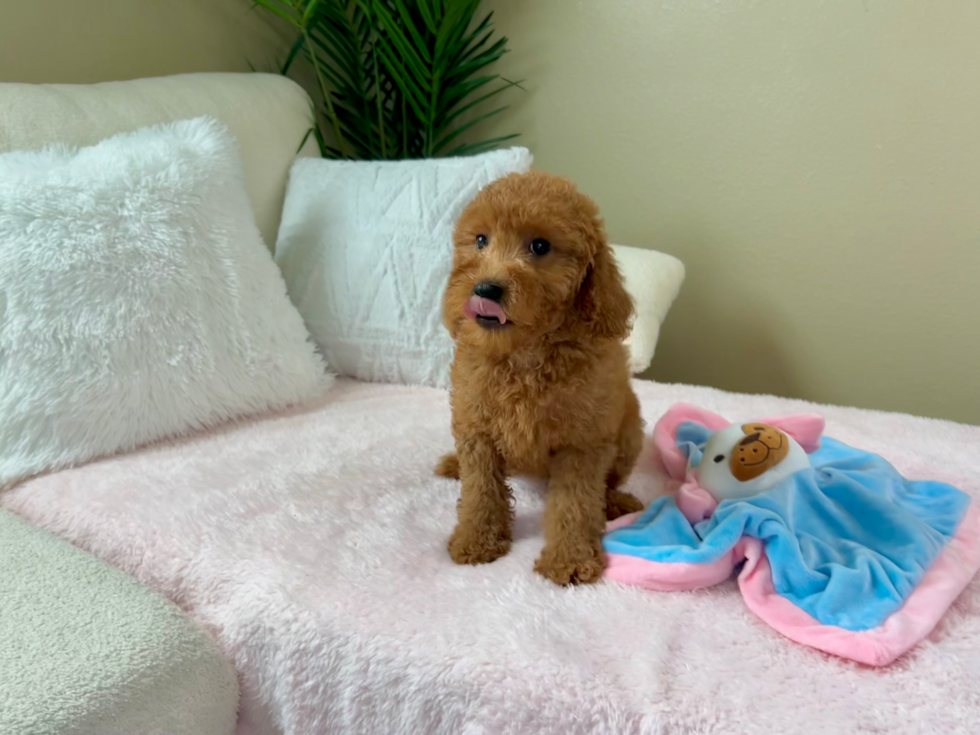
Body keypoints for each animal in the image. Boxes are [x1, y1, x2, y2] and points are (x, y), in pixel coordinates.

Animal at [436, 171, 644, 588]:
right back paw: (453, 464)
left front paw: (571, 559)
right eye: (480, 240)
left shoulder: (582, 442)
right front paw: (475, 540)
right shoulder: (476, 428)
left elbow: (575, 503)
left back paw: (615, 502)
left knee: (609, 481)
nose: (485, 289)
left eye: (540, 245)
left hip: (630, 430)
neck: (525, 353)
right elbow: (480, 490)